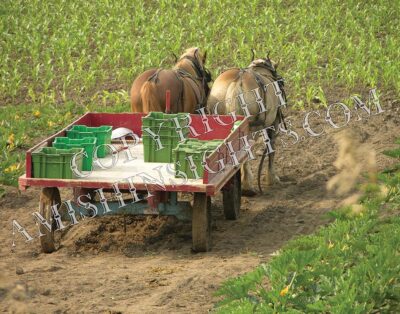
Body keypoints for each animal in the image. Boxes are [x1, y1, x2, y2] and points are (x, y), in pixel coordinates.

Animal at [206, 52, 288, 195]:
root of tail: (237, 82)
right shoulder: (274, 124)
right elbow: (271, 149)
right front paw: (273, 178)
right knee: (245, 153)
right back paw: (247, 186)